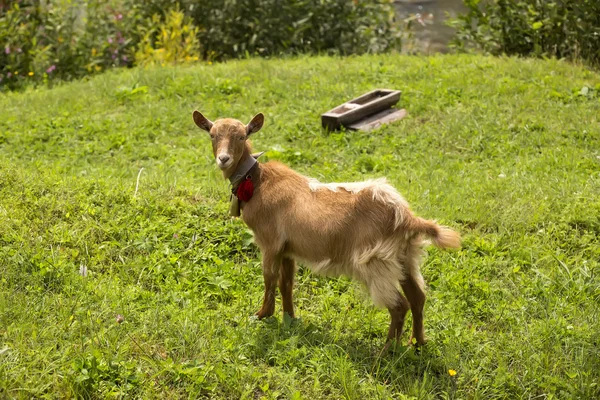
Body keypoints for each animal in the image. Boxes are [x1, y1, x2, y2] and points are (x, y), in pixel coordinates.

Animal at [192, 109, 460, 346]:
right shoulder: (288, 249)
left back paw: (386, 353)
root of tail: (406, 217)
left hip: (375, 263)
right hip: (405, 258)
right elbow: (286, 284)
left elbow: (269, 279)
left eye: (242, 136)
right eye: (212, 135)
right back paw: (418, 343)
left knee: (399, 306)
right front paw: (290, 319)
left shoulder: (270, 243)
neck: (258, 181)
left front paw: (261, 315)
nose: (223, 159)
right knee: (418, 298)